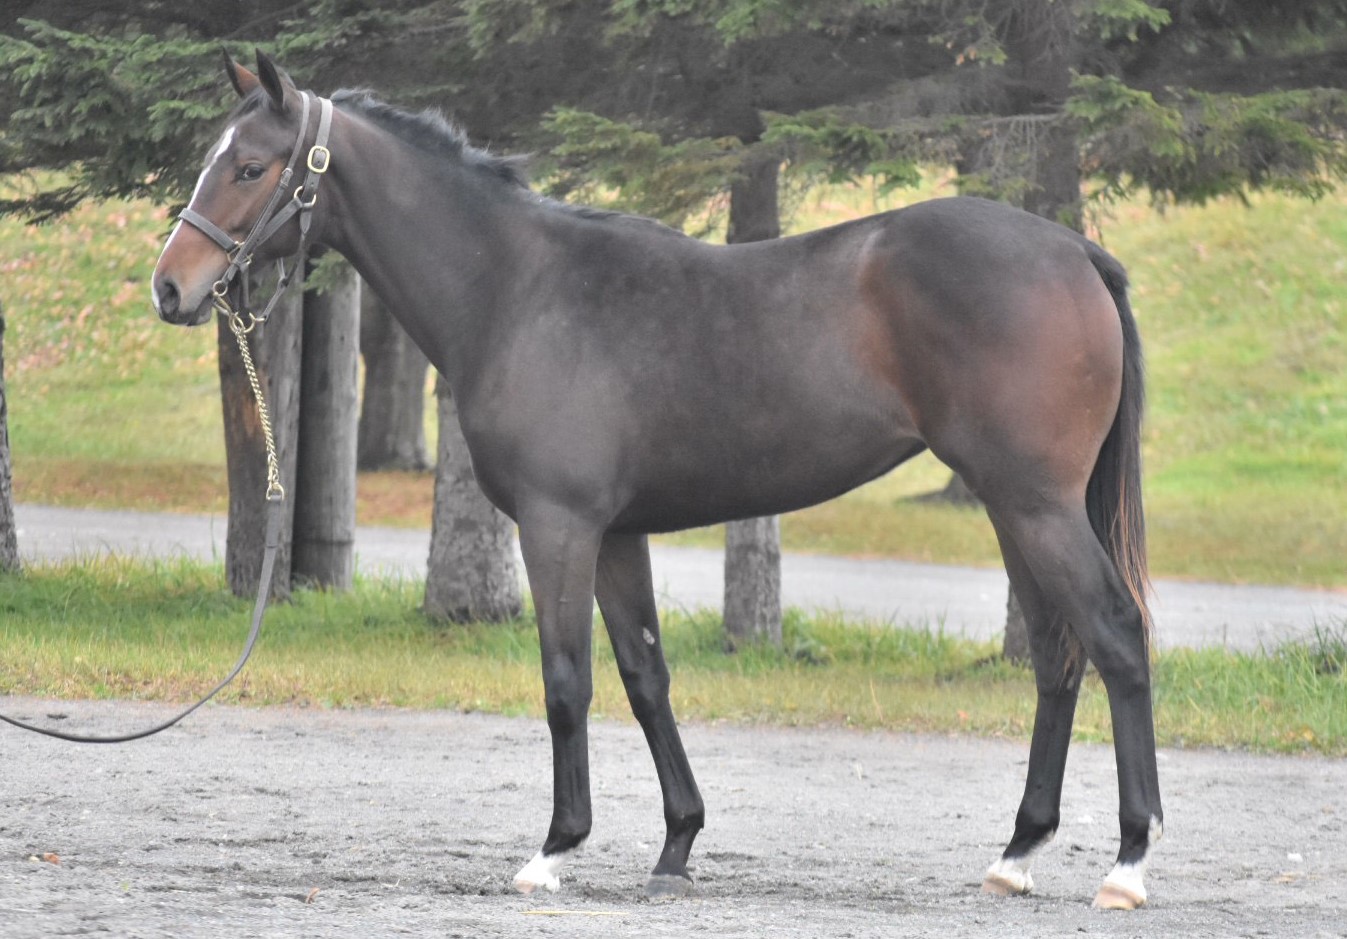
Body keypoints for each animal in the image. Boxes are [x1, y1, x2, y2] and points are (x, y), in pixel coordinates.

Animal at [151, 52, 1162, 911]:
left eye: (249, 166)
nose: (170, 287)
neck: (517, 289)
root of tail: (1075, 252)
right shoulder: (617, 534)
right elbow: (645, 676)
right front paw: (676, 844)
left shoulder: (558, 525)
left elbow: (566, 680)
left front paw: (554, 849)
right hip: (1013, 507)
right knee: (1056, 654)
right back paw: (1017, 853)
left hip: (1034, 504)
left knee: (1113, 634)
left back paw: (1126, 863)